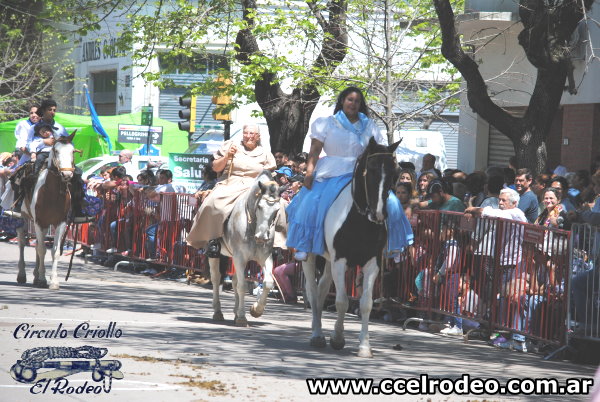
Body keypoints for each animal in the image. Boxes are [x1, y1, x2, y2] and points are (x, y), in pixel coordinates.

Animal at [14, 133, 78, 288]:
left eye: (72, 152)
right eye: (56, 151)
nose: (67, 175)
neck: (52, 193)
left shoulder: (60, 222)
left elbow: (54, 251)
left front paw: (53, 281)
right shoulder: (39, 221)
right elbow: (42, 249)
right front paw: (43, 279)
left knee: (37, 244)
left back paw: (36, 276)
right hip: (23, 219)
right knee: (22, 243)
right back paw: (22, 275)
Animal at [207, 170, 282, 326]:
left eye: (277, 210)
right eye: (260, 207)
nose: (261, 236)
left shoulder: (264, 257)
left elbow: (268, 283)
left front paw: (256, 310)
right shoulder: (240, 257)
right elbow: (242, 286)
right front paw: (242, 317)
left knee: (234, 280)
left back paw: (235, 312)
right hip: (217, 255)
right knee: (216, 278)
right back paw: (218, 312)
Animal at [302, 137, 400, 358]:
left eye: (394, 172)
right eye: (371, 169)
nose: (379, 213)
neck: (360, 218)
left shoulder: (372, 263)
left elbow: (366, 304)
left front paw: (364, 346)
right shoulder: (340, 261)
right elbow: (342, 301)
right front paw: (338, 338)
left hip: (328, 260)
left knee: (321, 290)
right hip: (310, 257)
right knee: (312, 291)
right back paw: (316, 334)